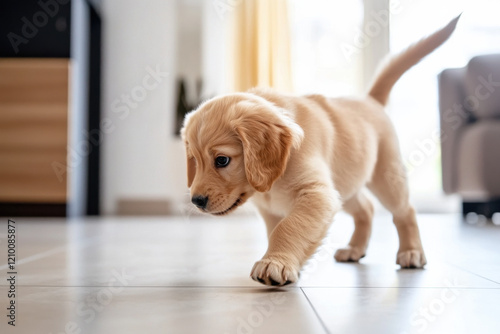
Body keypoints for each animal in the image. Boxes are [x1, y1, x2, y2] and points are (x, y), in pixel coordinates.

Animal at [182, 17, 458, 286]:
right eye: (195, 160)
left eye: (222, 160)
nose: (196, 201)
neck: (273, 179)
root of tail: (370, 100)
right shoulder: (277, 208)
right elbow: (276, 230)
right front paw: (285, 261)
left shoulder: (317, 193)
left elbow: (289, 227)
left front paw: (275, 263)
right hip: (345, 186)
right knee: (366, 209)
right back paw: (355, 249)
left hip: (386, 177)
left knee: (405, 210)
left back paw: (411, 252)